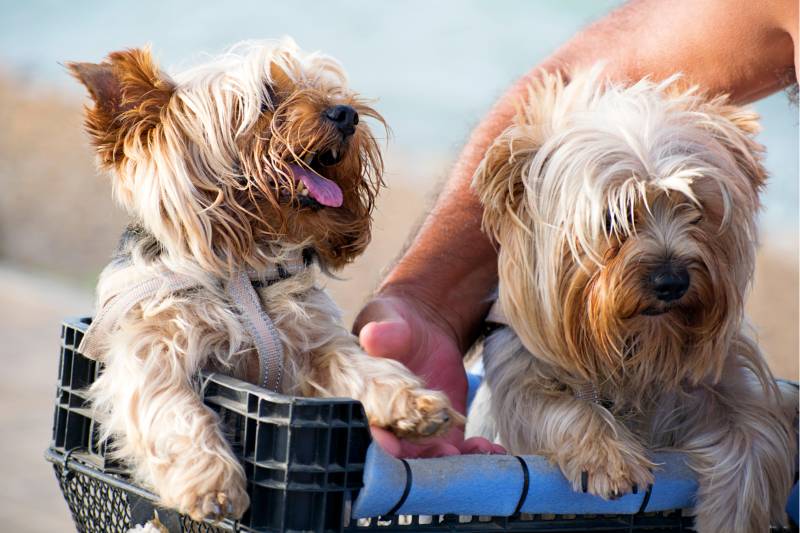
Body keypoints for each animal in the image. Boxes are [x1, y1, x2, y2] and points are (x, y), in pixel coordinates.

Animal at [70, 40, 456, 520]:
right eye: (266, 98)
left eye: (325, 88)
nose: (347, 114)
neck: (247, 272)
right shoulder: (150, 345)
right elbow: (176, 407)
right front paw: (213, 483)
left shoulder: (310, 342)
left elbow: (359, 365)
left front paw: (412, 401)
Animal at [466, 70, 796, 532]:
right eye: (612, 218)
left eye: (696, 209)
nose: (671, 281)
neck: (637, 349)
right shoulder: (518, 371)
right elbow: (547, 402)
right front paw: (607, 456)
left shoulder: (722, 387)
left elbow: (755, 438)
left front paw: (730, 519)